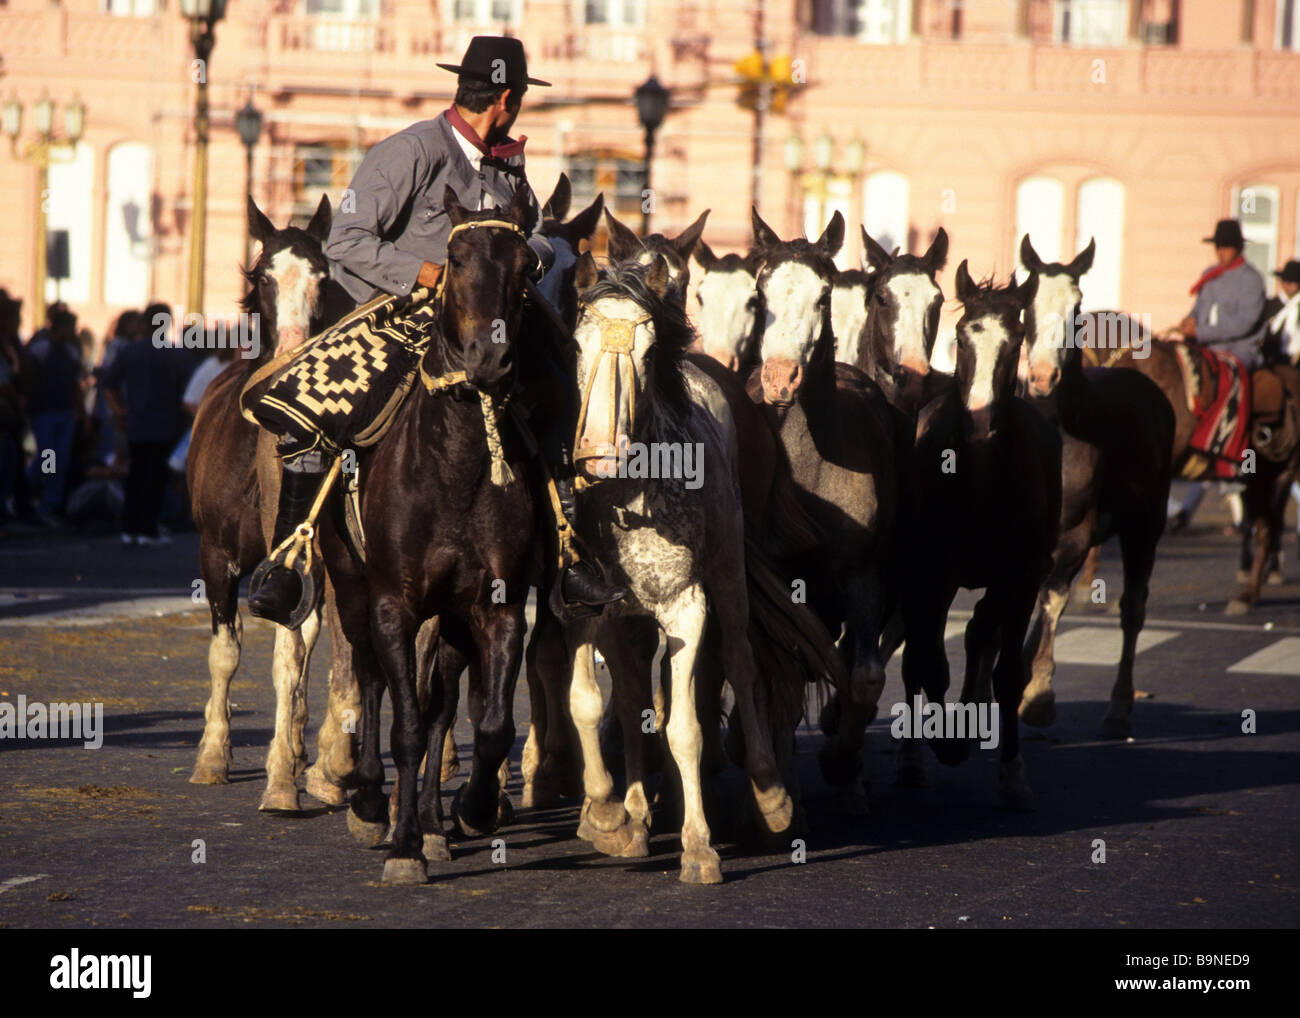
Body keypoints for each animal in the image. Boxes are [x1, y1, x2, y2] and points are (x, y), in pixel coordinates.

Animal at [188, 193, 361, 811]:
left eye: (322, 276)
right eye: (264, 275)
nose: (291, 349)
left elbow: (295, 652)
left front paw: (283, 774)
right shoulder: (215, 553)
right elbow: (226, 652)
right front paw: (213, 757)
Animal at [321, 187, 543, 889]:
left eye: (526, 266)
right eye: (456, 257)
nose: (487, 358)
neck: (455, 466)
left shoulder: (497, 607)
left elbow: (487, 722)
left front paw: (470, 810)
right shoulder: (394, 602)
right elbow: (407, 727)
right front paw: (402, 847)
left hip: (451, 617)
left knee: (441, 701)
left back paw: (435, 823)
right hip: (351, 581)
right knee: (369, 674)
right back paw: (372, 803)